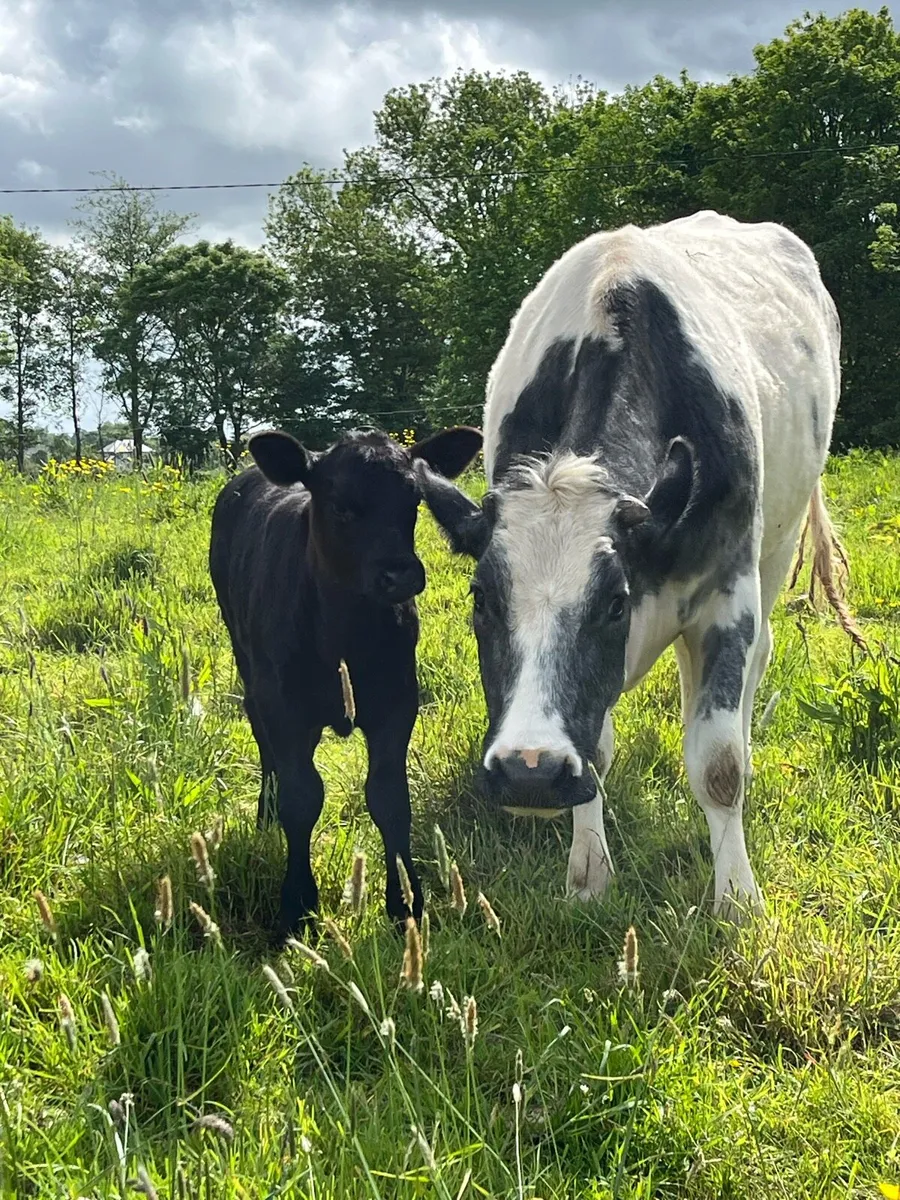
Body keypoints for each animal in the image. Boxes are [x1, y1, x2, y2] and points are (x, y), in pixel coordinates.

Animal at [209, 424, 483, 940]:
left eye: (413, 501)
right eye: (340, 505)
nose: (401, 574)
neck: (344, 632)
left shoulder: (397, 701)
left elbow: (390, 798)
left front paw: (406, 903)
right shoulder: (284, 706)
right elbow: (302, 798)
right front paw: (296, 903)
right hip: (244, 655)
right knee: (260, 735)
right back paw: (265, 814)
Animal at [414, 211, 864, 920]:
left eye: (614, 601)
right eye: (481, 598)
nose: (529, 769)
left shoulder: (727, 591)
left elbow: (719, 762)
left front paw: (737, 899)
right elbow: (595, 750)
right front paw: (588, 873)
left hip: (778, 542)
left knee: (755, 662)